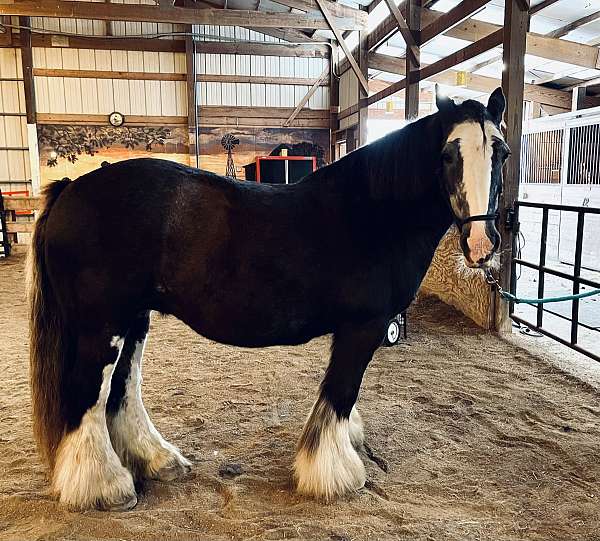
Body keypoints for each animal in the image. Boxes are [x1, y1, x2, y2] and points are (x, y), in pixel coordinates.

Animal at [27, 86, 506, 508]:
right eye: (448, 155)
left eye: (500, 152)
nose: (482, 245)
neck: (372, 213)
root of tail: (71, 188)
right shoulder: (362, 328)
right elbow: (340, 394)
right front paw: (333, 475)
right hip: (102, 325)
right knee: (87, 394)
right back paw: (104, 488)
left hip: (134, 319)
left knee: (123, 390)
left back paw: (157, 462)